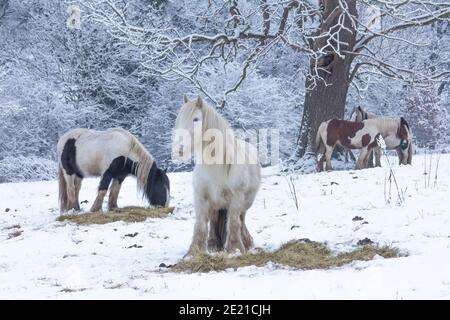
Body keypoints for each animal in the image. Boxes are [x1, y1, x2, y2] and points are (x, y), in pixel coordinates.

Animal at [174, 95, 262, 255]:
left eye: (196, 119)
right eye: (179, 118)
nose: (179, 149)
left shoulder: (236, 199)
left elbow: (233, 223)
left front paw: (235, 249)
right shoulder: (201, 197)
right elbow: (200, 224)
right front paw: (194, 251)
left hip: (245, 202)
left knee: (241, 220)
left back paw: (246, 243)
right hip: (216, 203)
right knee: (214, 220)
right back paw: (213, 245)